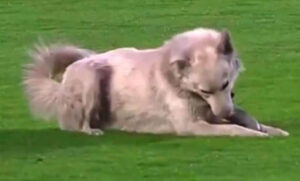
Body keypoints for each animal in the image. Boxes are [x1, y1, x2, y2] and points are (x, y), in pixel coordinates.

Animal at [23, 27, 288, 136]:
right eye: (204, 90)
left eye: (225, 85)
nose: (224, 112)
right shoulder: (192, 125)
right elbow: (234, 129)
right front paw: (259, 134)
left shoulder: (220, 107)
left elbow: (246, 118)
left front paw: (270, 129)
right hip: (91, 79)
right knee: (77, 125)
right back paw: (92, 130)